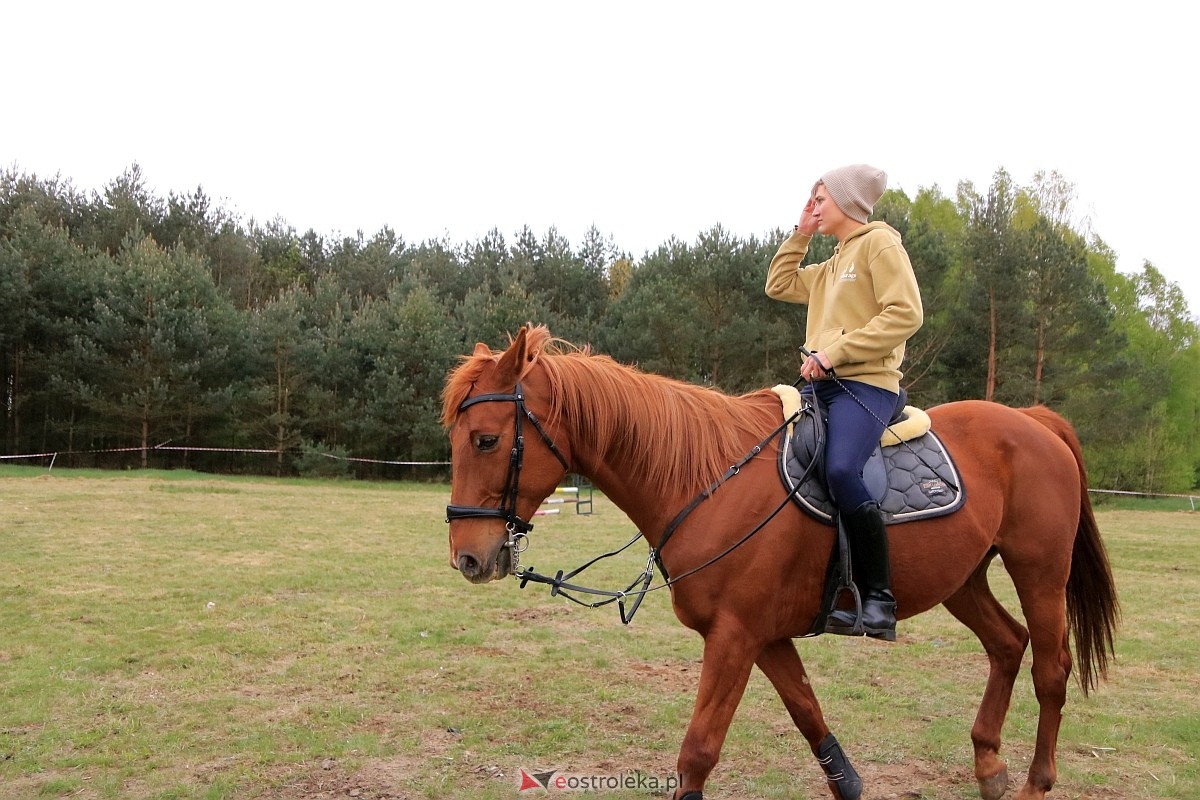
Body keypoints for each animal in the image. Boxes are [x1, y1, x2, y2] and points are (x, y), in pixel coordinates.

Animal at [446, 323, 1118, 800]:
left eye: (486, 439)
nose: (468, 558)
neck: (710, 479)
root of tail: (1032, 422)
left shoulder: (735, 637)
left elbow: (698, 752)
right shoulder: (764, 637)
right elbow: (809, 714)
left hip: (1039, 571)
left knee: (1051, 668)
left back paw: (1035, 781)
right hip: (964, 579)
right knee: (1007, 644)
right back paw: (989, 764)